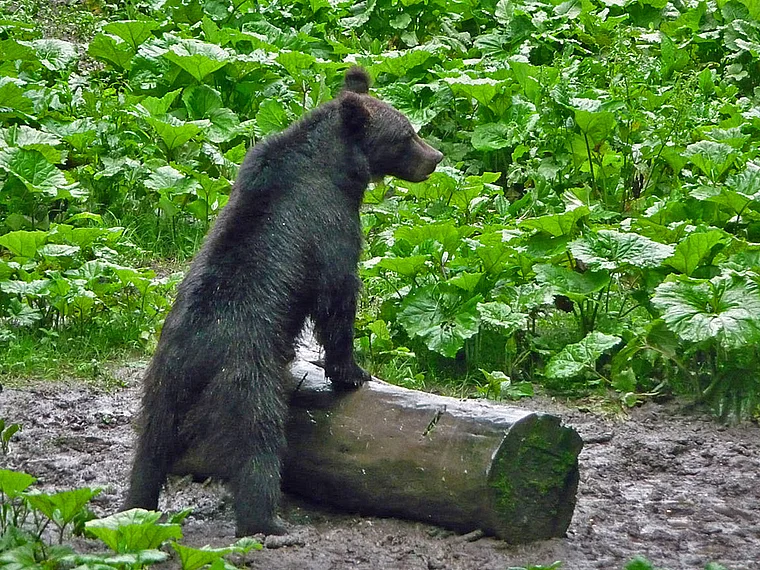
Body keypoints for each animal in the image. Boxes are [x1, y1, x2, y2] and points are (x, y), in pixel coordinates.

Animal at [123, 66, 443, 536]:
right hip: (248, 375)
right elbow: (338, 296)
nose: (435, 156)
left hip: (163, 378)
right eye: (406, 134)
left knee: (151, 441)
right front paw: (353, 372)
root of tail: (200, 352)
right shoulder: (328, 224)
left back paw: (137, 504)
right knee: (258, 439)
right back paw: (267, 521)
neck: (337, 169)